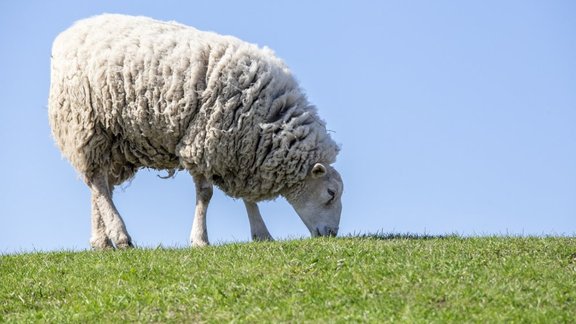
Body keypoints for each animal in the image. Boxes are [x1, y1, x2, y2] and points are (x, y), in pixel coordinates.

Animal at [48, 13, 342, 249]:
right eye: (331, 193)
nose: (331, 234)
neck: (267, 119)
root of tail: (69, 33)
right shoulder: (204, 142)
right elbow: (205, 195)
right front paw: (200, 239)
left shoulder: (241, 152)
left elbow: (247, 198)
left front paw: (261, 234)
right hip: (86, 124)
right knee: (98, 182)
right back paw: (120, 236)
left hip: (113, 140)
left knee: (99, 186)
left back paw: (101, 240)